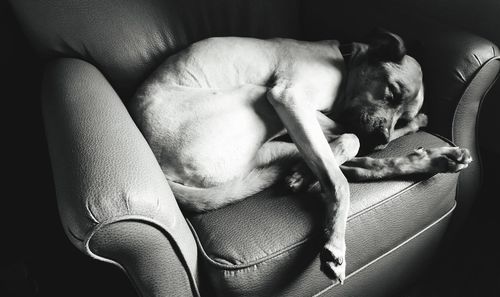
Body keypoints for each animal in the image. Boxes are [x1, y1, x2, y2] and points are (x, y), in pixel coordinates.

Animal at [129, 30, 472, 282]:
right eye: (391, 92)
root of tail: (164, 174)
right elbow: (343, 156)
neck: (343, 61)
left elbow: (350, 146)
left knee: (341, 158)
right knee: (342, 155)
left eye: (402, 113)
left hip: (264, 138)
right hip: (257, 100)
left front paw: (418, 131)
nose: (382, 140)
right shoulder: (289, 97)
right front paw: (334, 241)